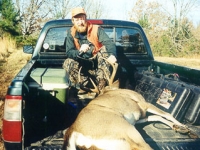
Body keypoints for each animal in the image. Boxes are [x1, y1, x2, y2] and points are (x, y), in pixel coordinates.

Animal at [62, 58, 191, 149]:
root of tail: (72, 131)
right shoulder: (142, 104)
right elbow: (166, 114)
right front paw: (184, 126)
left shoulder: (138, 118)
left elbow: (157, 117)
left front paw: (178, 127)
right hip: (127, 131)